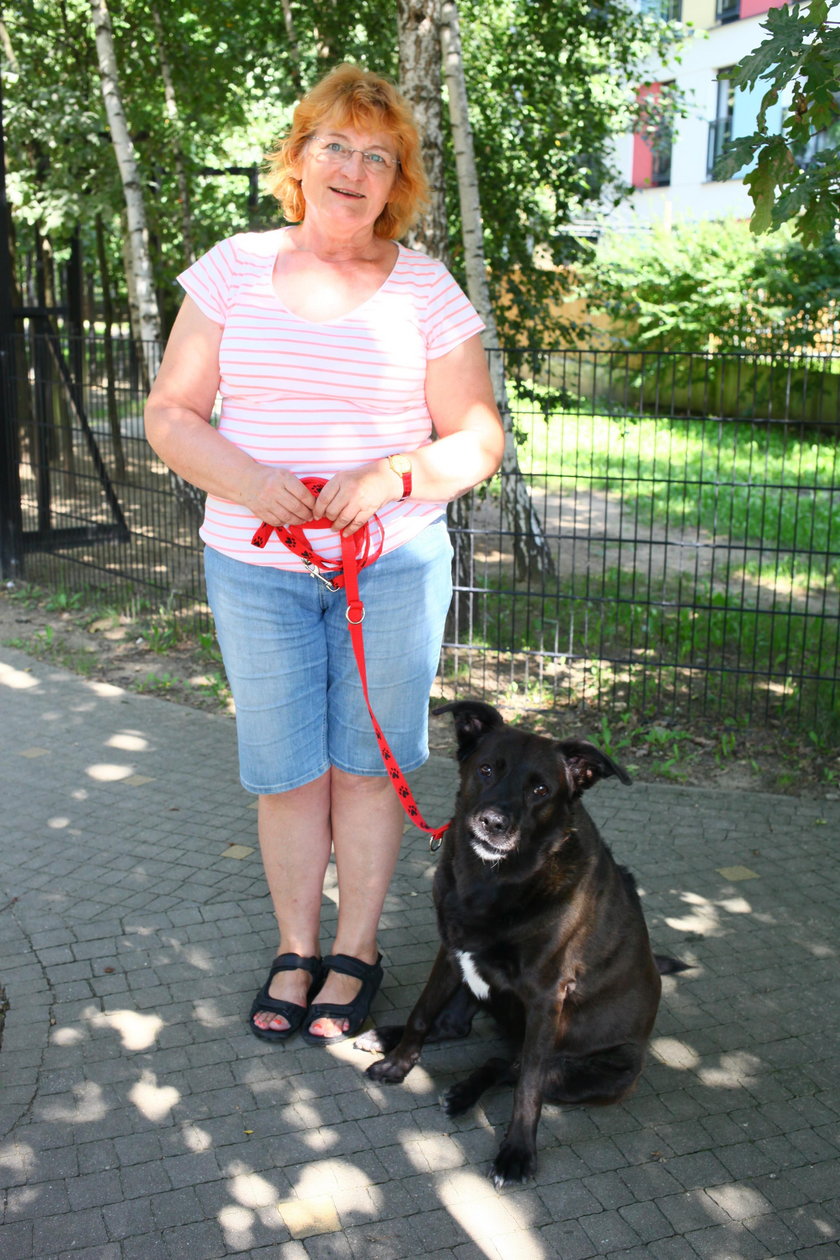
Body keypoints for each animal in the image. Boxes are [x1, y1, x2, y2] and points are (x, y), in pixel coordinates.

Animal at [357, 700, 680, 1189]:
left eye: (541, 790)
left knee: (512, 1066)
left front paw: (516, 1153)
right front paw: (398, 1065)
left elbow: (528, 1085)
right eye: (486, 769)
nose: (493, 822)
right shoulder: (451, 952)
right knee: (457, 1027)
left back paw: (463, 1094)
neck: (493, 880)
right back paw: (385, 1037)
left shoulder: (547, 997)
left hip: (606, 1070)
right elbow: (421, 1014)